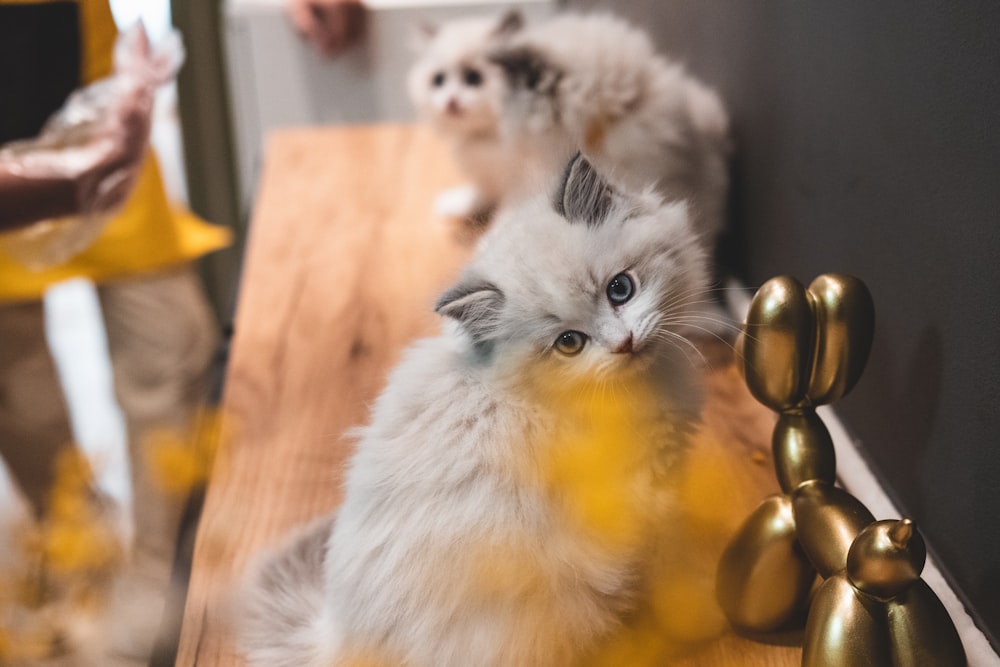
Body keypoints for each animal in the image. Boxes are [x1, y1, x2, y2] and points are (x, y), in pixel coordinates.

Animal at [239, 153, 716, 667]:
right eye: (570, 343)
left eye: (620, 289)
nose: (623, 344)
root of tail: (336, 638)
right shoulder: (642, 500)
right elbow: (666, 570)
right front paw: (692, 617)